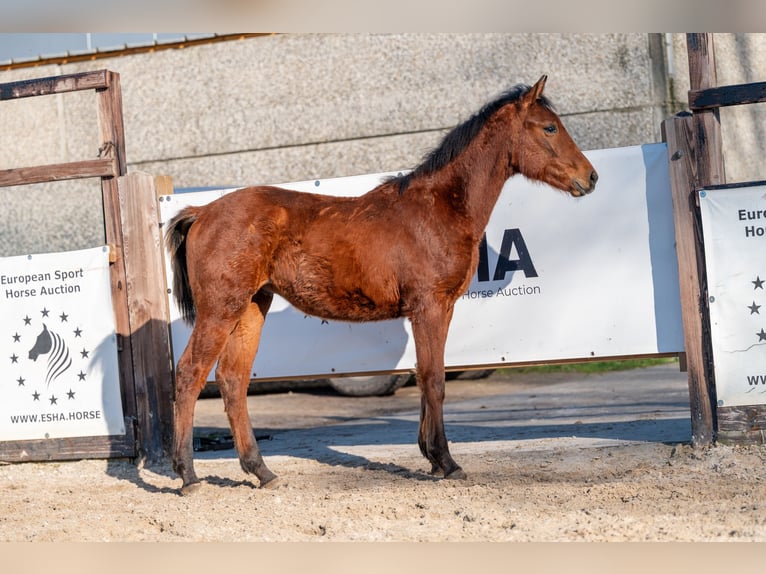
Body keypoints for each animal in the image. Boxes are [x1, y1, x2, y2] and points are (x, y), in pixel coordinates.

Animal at [165, 75, 597, 495]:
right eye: (549, 127)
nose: (590, 177)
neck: (437, 208)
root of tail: (201, 211)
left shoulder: (437, 309)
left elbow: (425, 374)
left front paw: (431, 458)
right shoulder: (430, 306)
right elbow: (435, 379)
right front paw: (446, 462)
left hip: (252, 306)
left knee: (232, 380)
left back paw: (261, 471)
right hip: (221, 309)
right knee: (189, 374)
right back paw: (188, 475)